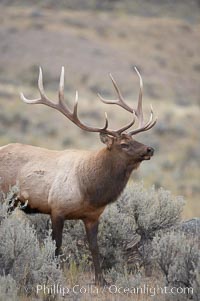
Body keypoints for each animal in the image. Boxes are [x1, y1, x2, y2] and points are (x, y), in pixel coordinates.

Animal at [0, 65, 156, 284]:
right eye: (124, 144)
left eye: (135, 140)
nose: (149, 149)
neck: (90, 191)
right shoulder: (57, 208)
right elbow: (57, 247)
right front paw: (55, 275)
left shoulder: (92, 216)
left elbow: (94, 248)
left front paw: (101, 280)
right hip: (5, 197)